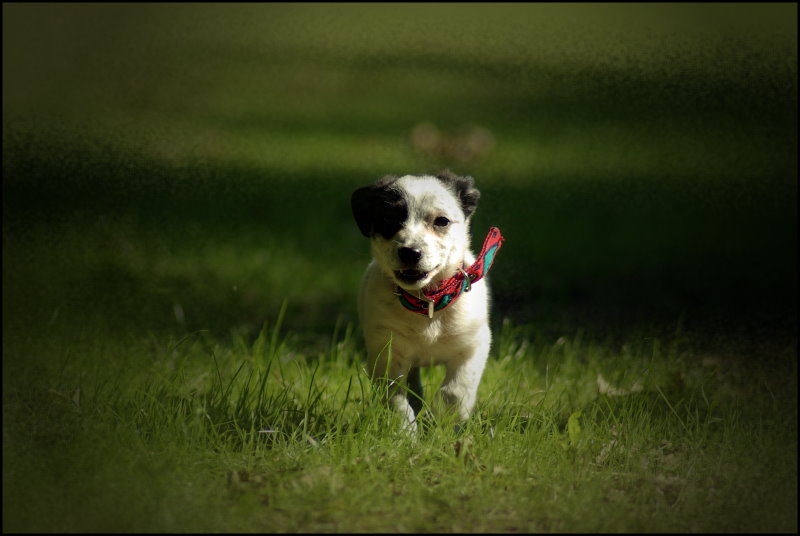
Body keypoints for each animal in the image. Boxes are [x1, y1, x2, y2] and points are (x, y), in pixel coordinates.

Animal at [352, 172, 504, 436]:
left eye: (441, 221)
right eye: (388, 218)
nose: (410, 252)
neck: (427, 302)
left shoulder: (473, 345)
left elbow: (455, 390)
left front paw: (442, 424)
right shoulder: (387, 353)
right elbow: (396, 398)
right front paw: (405, 433)